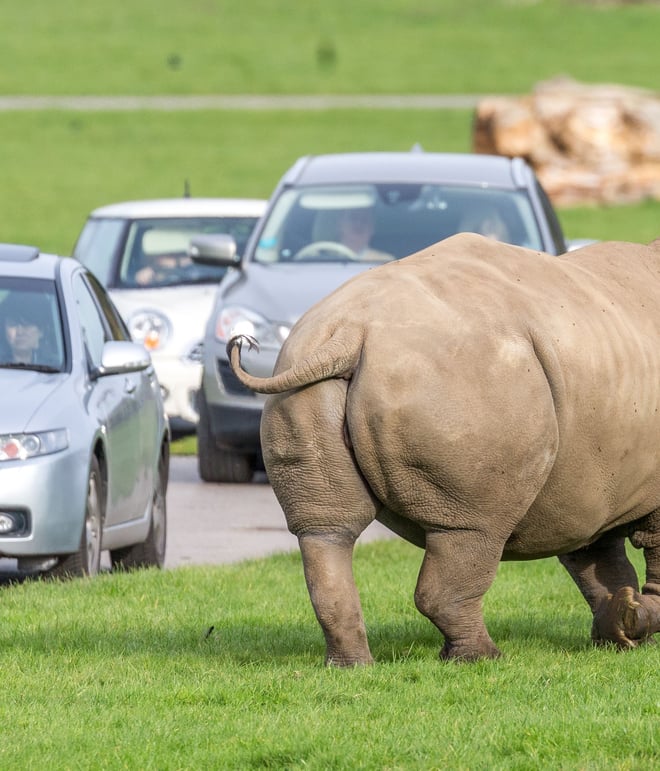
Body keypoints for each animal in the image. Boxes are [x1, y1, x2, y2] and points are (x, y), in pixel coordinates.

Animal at [227, 233, 660, 665]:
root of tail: (350, 334)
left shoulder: (590, 485)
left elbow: (597, 559)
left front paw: (620, 629)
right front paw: (635, 621)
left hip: (306, 383)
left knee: (327, 530)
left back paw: (352, 666)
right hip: (464, 385)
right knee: (472, 526)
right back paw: (481, 658)